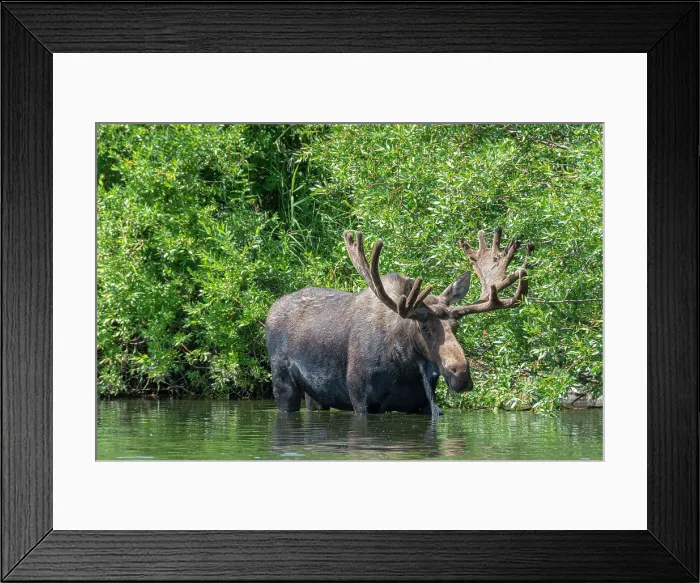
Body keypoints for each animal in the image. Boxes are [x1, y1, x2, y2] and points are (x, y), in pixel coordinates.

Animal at [265, 228, 533, 416]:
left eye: (456, 327)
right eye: (424, 328)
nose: (462, 375)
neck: (404, 366)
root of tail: (271, 309)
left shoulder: (421, 405)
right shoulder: (360, 400)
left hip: (315, 396)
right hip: (283, 385)